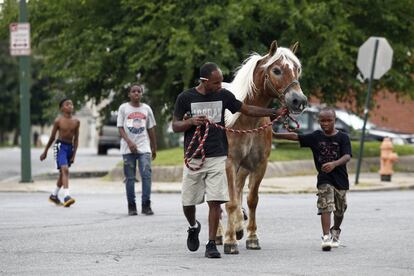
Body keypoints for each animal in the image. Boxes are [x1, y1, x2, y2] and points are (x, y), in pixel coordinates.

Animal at [218, 40, 308, 253]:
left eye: (297, 69)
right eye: (276, 70)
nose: (299, 101)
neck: (246, 119)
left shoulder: (259, 165)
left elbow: (252, 200)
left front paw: (251, 236)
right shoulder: (229, 163)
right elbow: (230, 202)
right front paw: (230, 241)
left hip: (243, 169)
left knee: (238, 191)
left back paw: (238, 226)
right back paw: (219, 234)